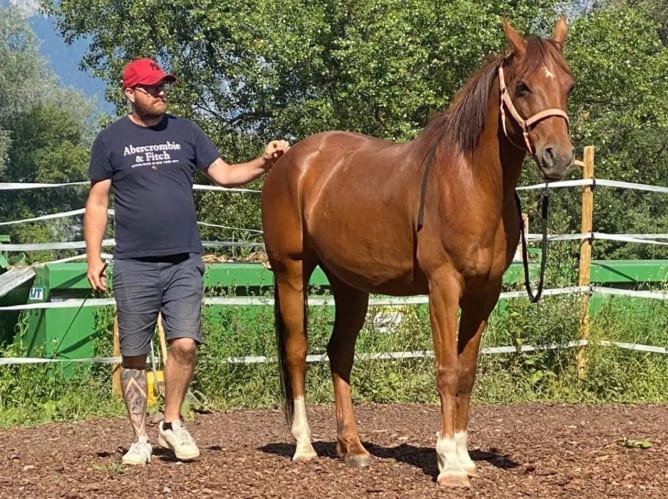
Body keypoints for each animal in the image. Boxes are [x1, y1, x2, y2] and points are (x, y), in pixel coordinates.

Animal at [260, 17, 576, 486]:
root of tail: (289, 160)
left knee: (340, 352)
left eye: (568, 86)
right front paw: (448, 465)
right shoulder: (443, 287)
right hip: (291, 271)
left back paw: (353, 448)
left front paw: (463, 456)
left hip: (350, 285)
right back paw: (303, 446)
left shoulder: (484, 294)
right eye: (522, 87)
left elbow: (466, 373)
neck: (469, 182)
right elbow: (446, 370)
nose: (559, 158)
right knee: (298, 350)